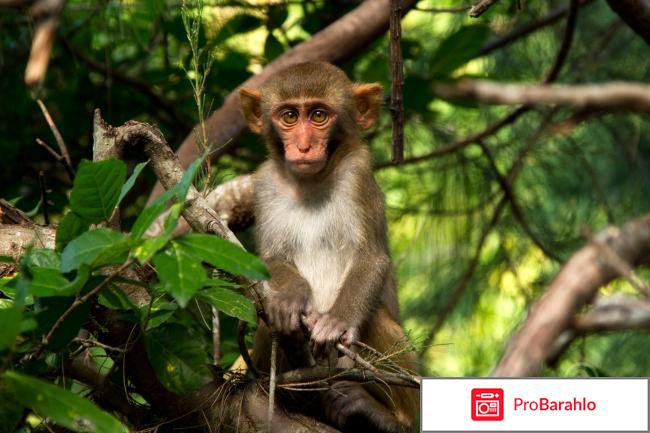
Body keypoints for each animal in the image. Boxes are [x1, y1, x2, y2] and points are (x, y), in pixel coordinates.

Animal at [240, 61, 418, 432]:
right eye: (289, 116)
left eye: (319, 115)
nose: (304, 147)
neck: (310, 183)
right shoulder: (263, 185)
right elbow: (269, 261)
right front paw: (290, 298)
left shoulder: (358, 174)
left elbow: (372, 259)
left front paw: (335, 322)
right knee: (266, 322)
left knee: (375, 318)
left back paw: (384, 416)